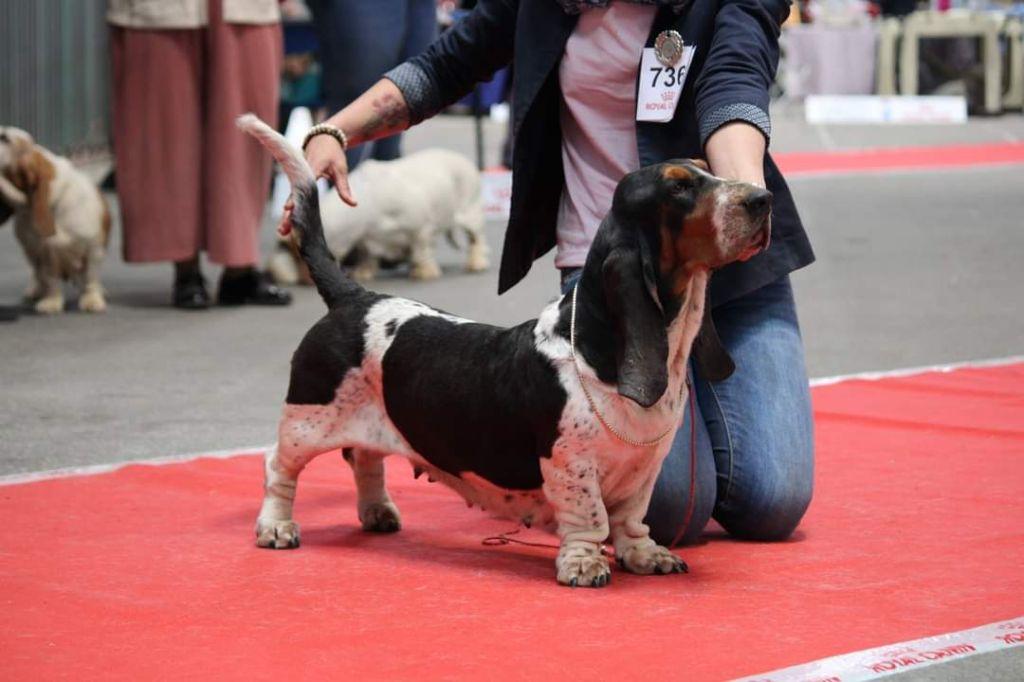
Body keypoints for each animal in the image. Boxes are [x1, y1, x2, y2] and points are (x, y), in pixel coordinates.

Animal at [0, 125, 111, 311]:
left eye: (4, 138)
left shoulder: (93, 249)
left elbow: (90, 277)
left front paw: (92, 300)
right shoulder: (45, 253)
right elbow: (50, 279)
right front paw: (51, 302)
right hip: (30, 251)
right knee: (37, 273)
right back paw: (35, 291)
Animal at [239, 115, 770, 585]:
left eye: (707, 166)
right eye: (679, 188)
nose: (763, 199)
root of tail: (353, 296)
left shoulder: (645, 470)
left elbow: (631, 520)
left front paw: (646, 556)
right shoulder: (571, 466)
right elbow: (591, 518)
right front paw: (583, 565)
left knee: (365, 460)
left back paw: (378, 513)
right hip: (307, 420)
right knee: (278, 467)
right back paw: (277, 527)